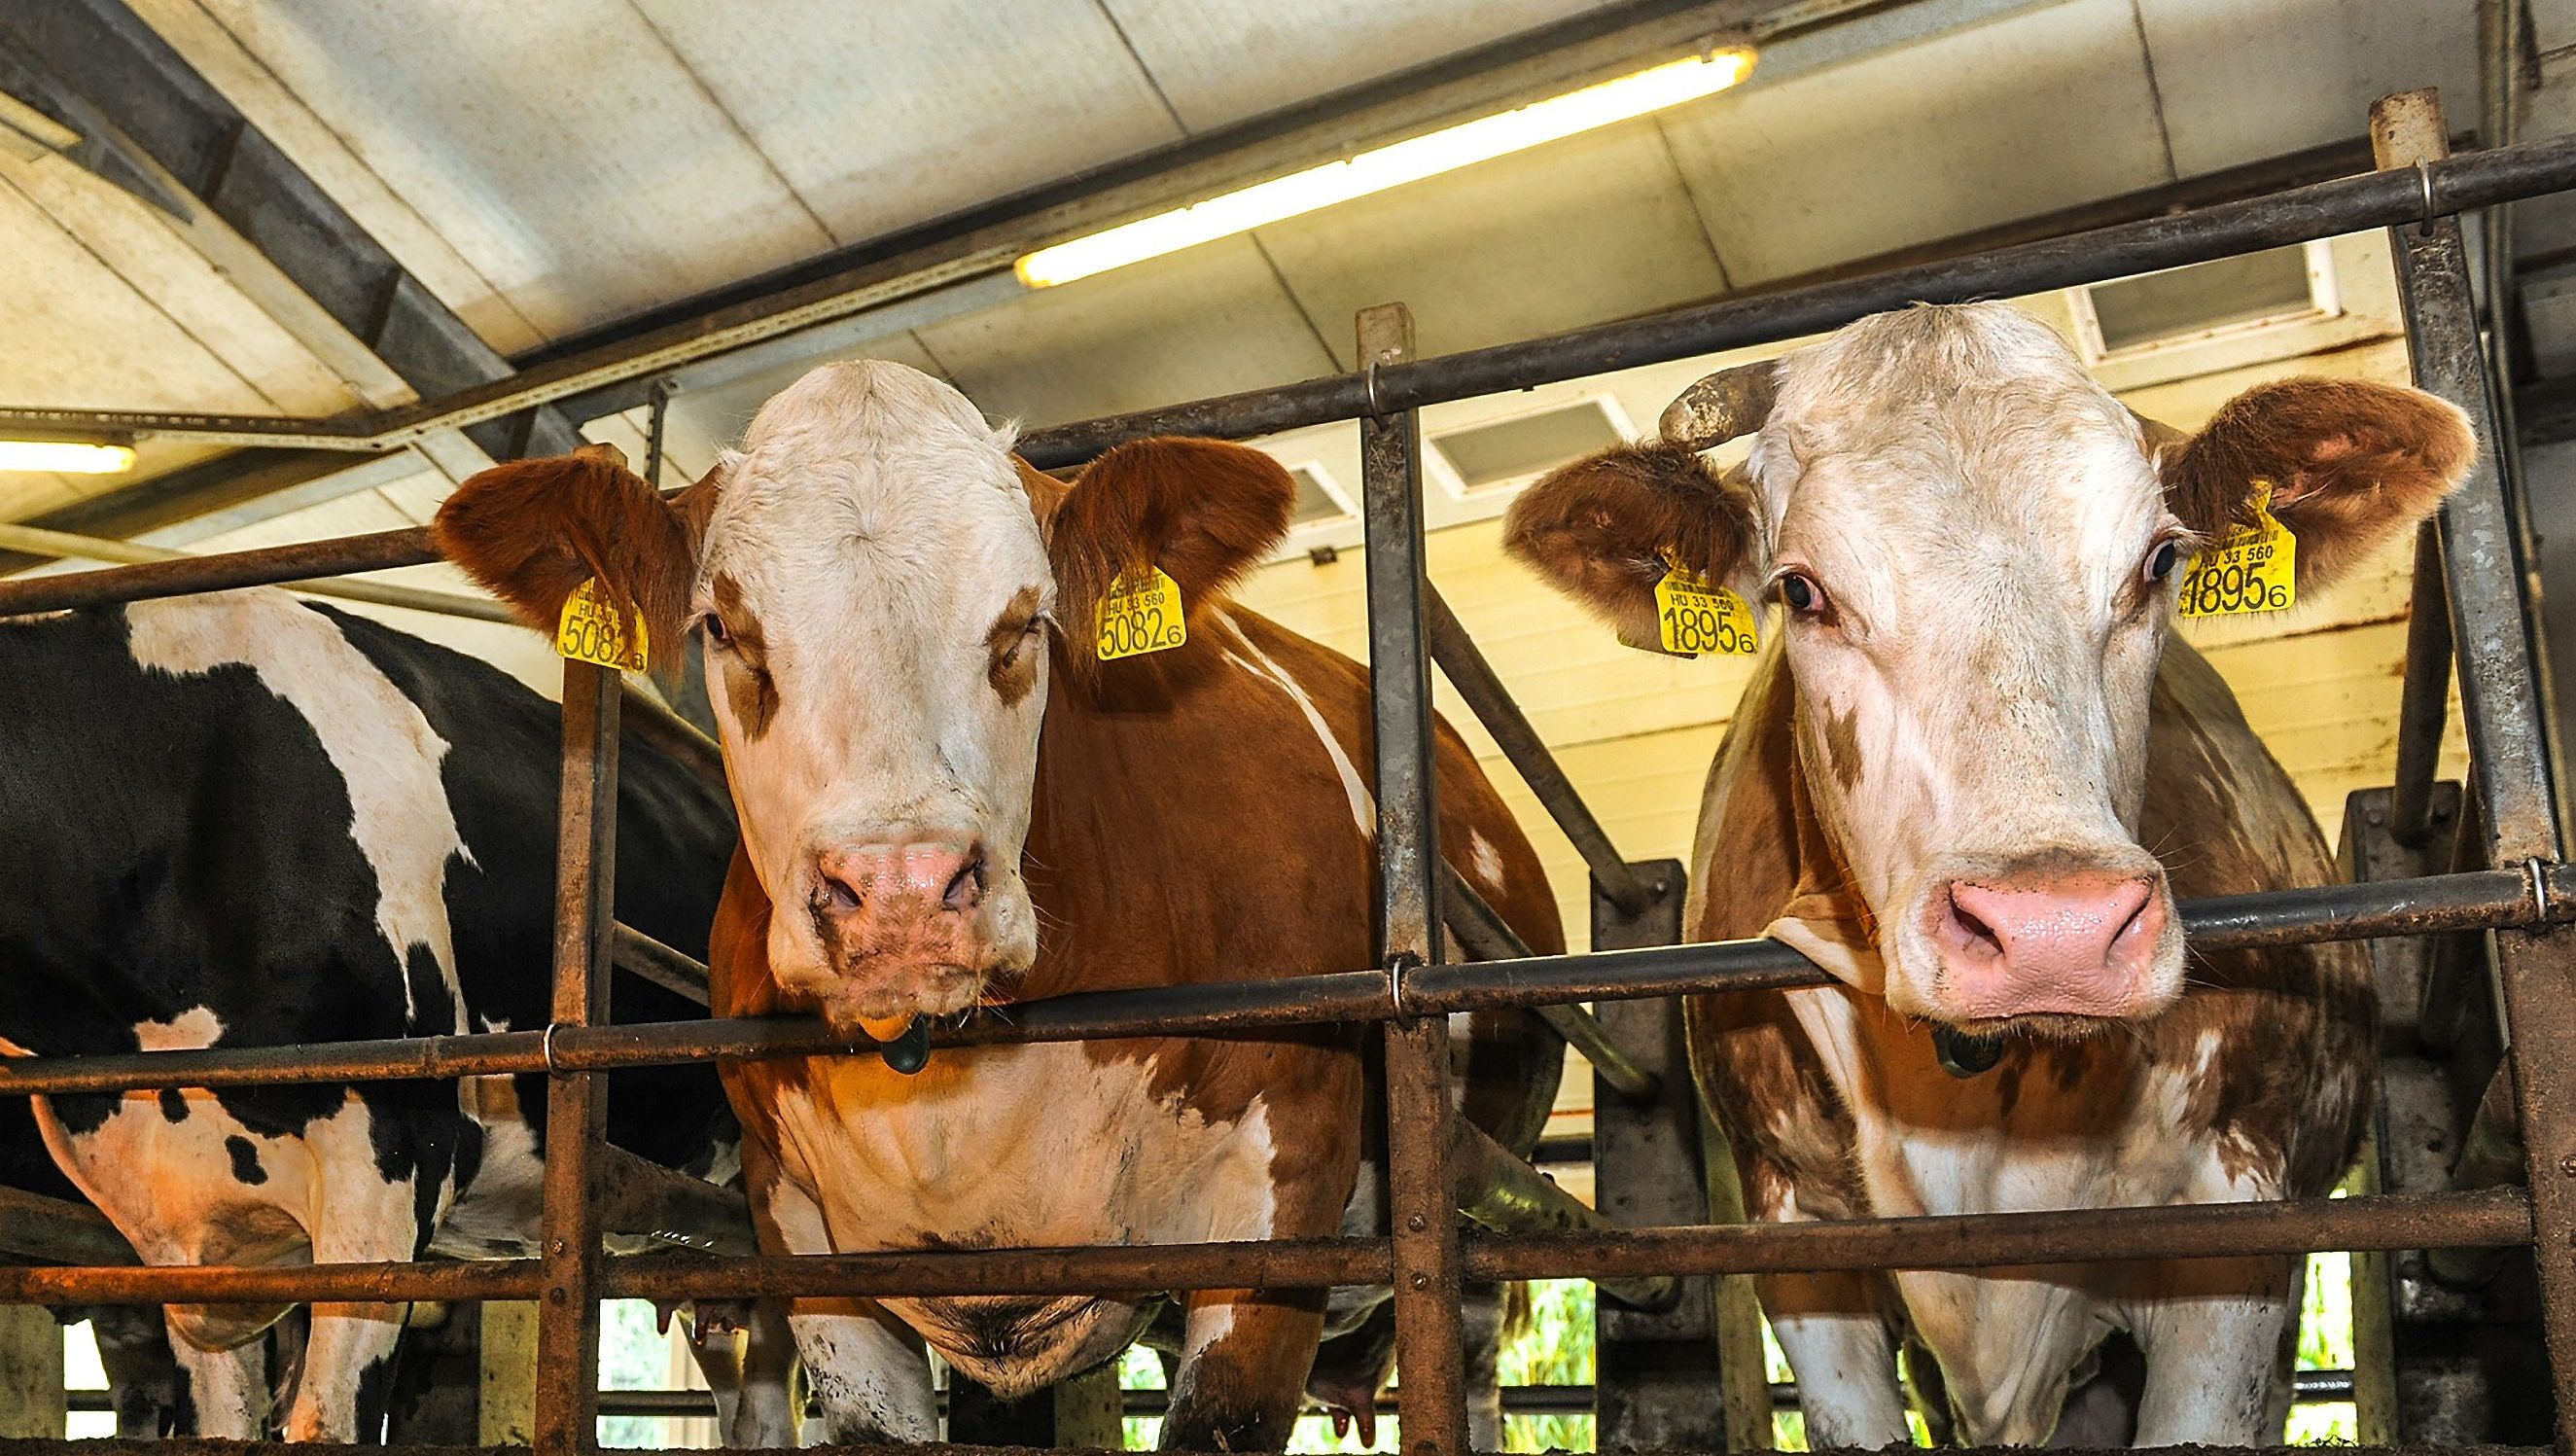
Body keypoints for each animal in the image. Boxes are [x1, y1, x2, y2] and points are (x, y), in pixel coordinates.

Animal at [438, 363, 1566, 1453]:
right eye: (724, 626)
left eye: (1028, 619)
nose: (900, 890)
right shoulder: (803, 1236)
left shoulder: (1285, 1177)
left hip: (1482, 1231)